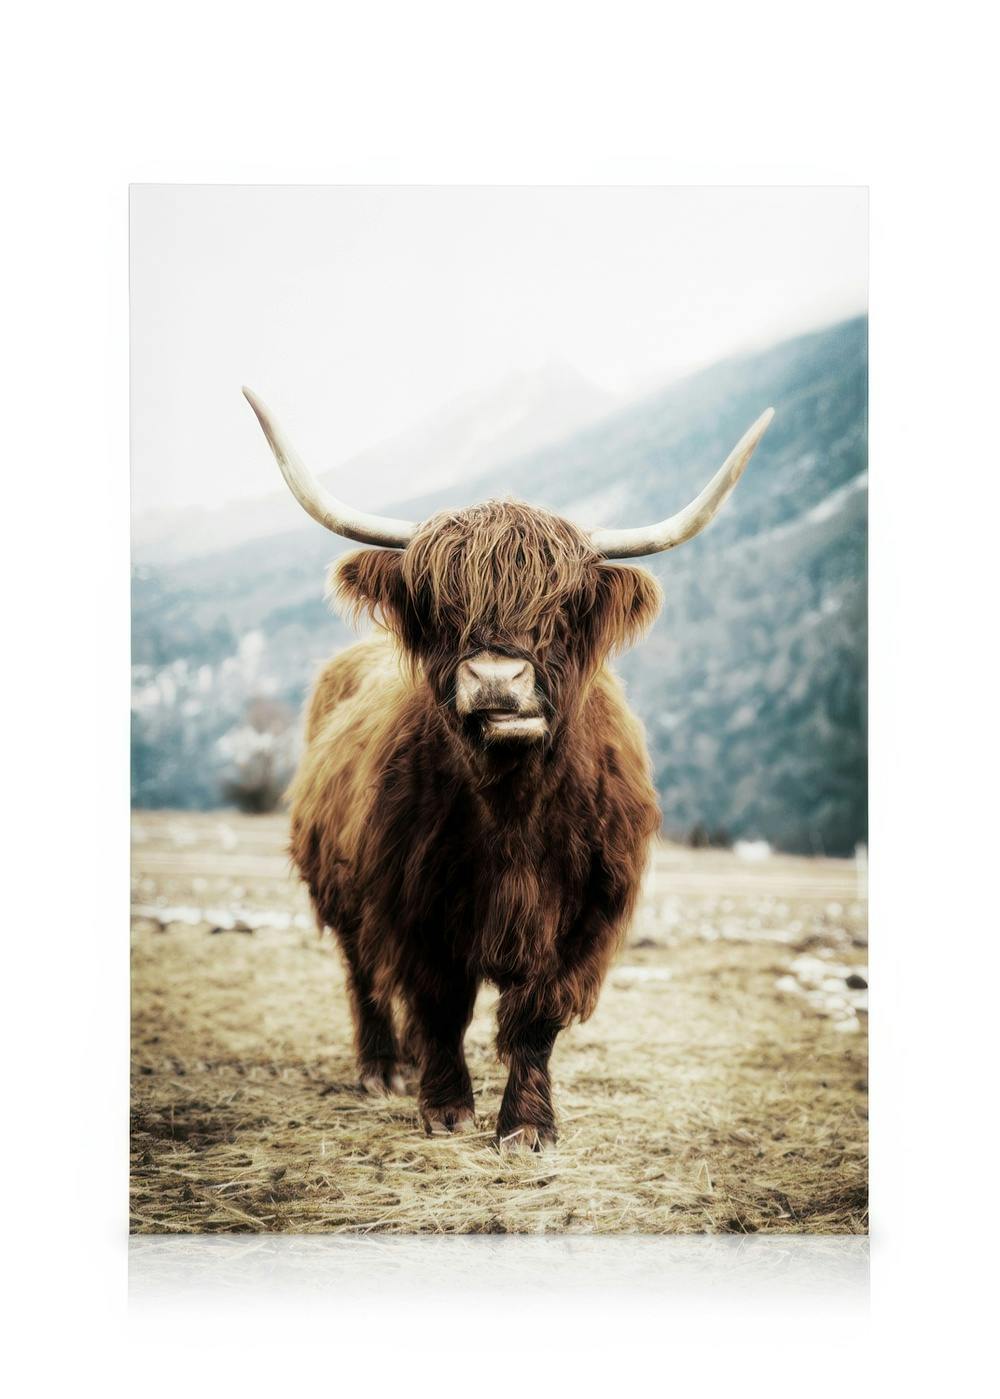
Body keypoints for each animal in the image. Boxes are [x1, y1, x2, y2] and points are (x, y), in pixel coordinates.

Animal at [244, 388, 773, 1150]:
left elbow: (536, 1018)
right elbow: (438, 1003)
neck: (514, 808)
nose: (496, 678)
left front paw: (526, 1125)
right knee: (364, 973)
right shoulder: (414, 902)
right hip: (341, 889)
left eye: (561, 608)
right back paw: (383, 1067)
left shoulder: (587, 916)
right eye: (441, 608)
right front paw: (446, 1109)